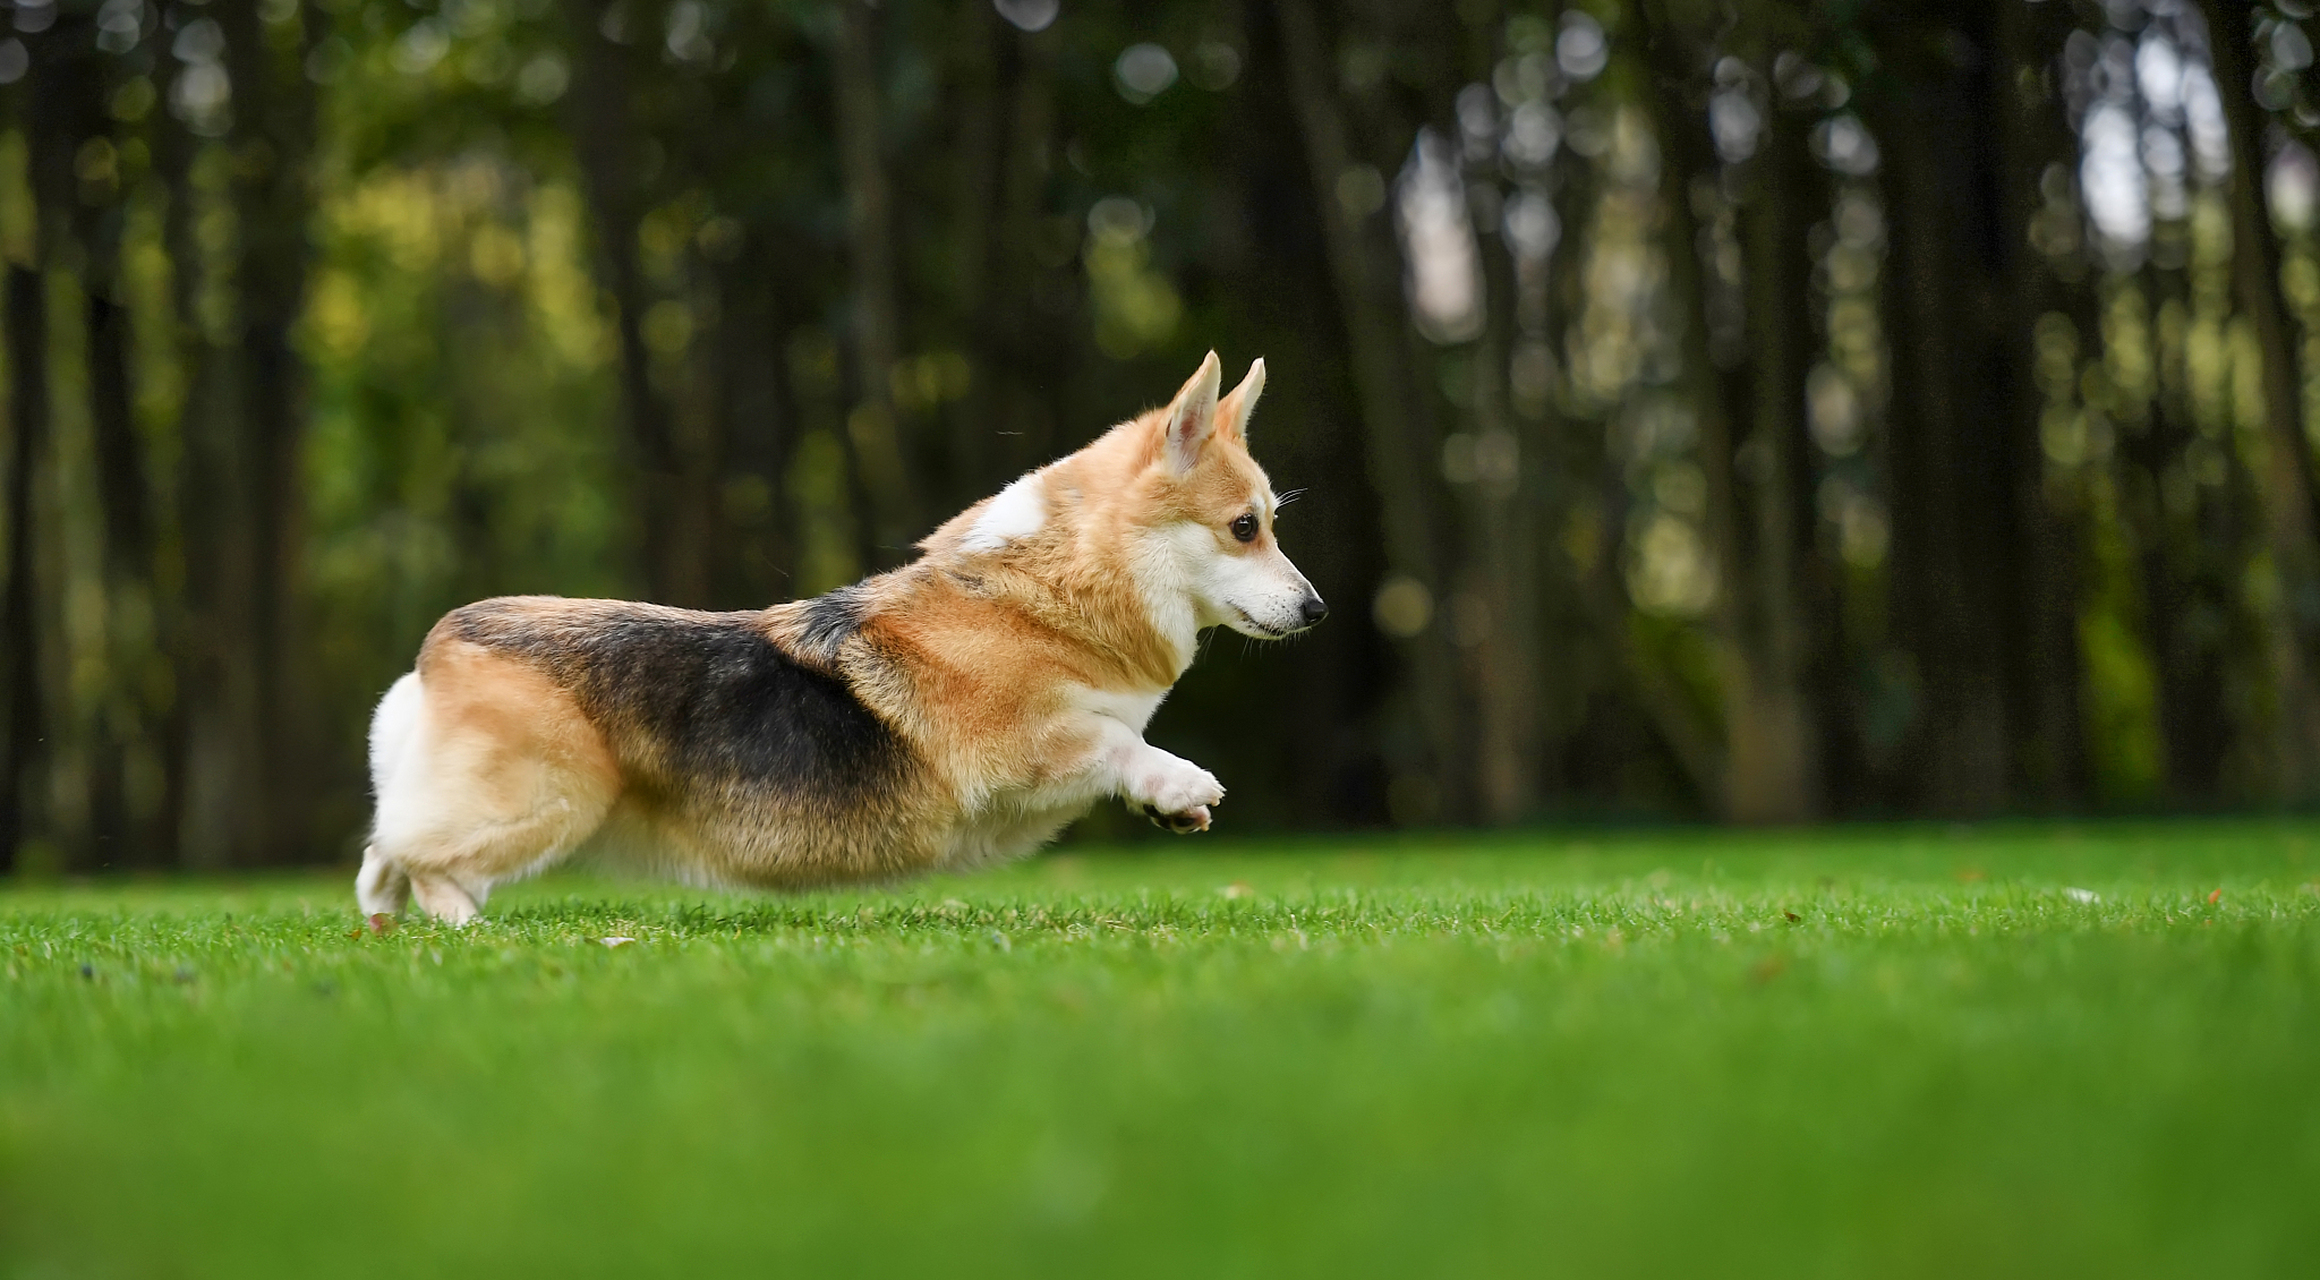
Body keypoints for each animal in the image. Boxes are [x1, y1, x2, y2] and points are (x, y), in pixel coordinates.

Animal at [350, 354, 1317, 922]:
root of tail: (440, 649)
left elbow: (1121, 741)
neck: (1040, 594)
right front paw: (1183, 781)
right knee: (413, 851)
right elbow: (1117, 740)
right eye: (1244, 527)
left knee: (381, 857)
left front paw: (1173, 804)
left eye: (1269, 522)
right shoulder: (1023, 745)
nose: (1318, 612)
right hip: (550, 801)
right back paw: (468, 932)